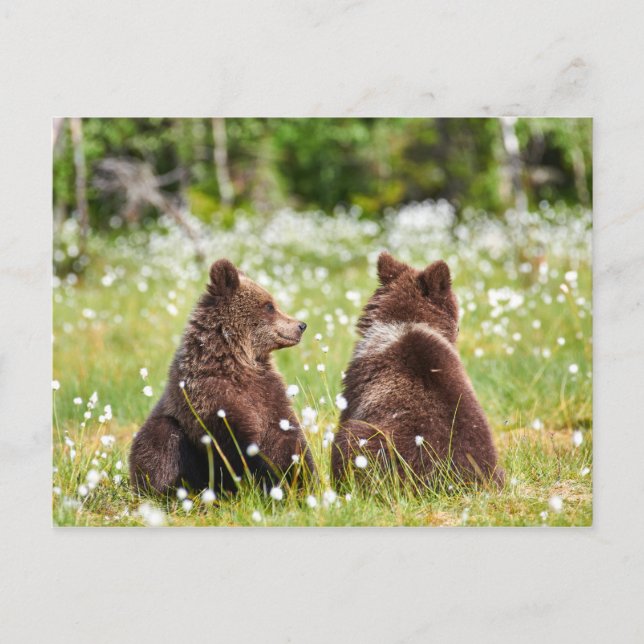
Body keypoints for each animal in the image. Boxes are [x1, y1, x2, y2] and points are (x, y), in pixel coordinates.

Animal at [129, 258, 312, 495]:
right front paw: (262, 480)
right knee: (163, 441)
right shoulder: (209, 396)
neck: (238, 362)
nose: (301, 325)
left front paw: (301, 478)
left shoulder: (268, 393)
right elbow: (234, 442)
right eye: (269, 306)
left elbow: (286, 436)